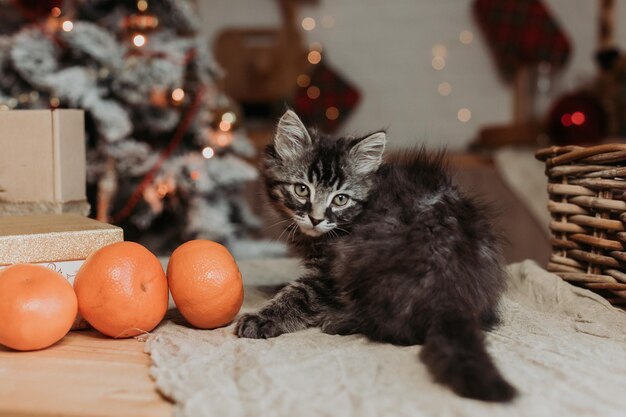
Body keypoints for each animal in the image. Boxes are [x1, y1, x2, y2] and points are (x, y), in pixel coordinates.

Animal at [232, 109, 516, 400]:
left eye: (340, 199)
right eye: (302, 189)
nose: (316, 218)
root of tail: (452, 297)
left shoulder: (327, 272)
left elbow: (300, 294)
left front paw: (263, 319)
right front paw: (272, 286)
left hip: (362, 260)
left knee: (392, 327)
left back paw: (337, 320)